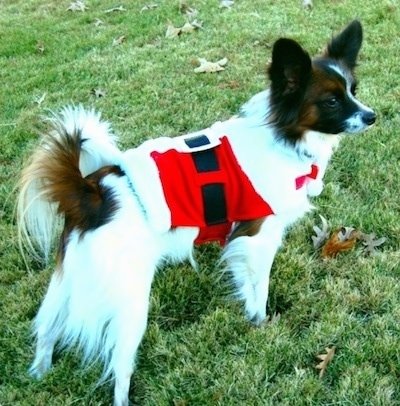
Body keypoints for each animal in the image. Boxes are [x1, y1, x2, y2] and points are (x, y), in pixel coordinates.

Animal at [18, 19, 376, 406]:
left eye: (353, 90)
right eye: (332, 101)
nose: (373, 116)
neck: (283, 136)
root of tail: (92, 193)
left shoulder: (239, 239)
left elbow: (243, 280)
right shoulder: (258, 236)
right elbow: (260, 287)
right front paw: (260, 321)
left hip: (72, 279)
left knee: (47, 327)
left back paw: (39, 372)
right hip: (130, 300)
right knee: (119, 367)